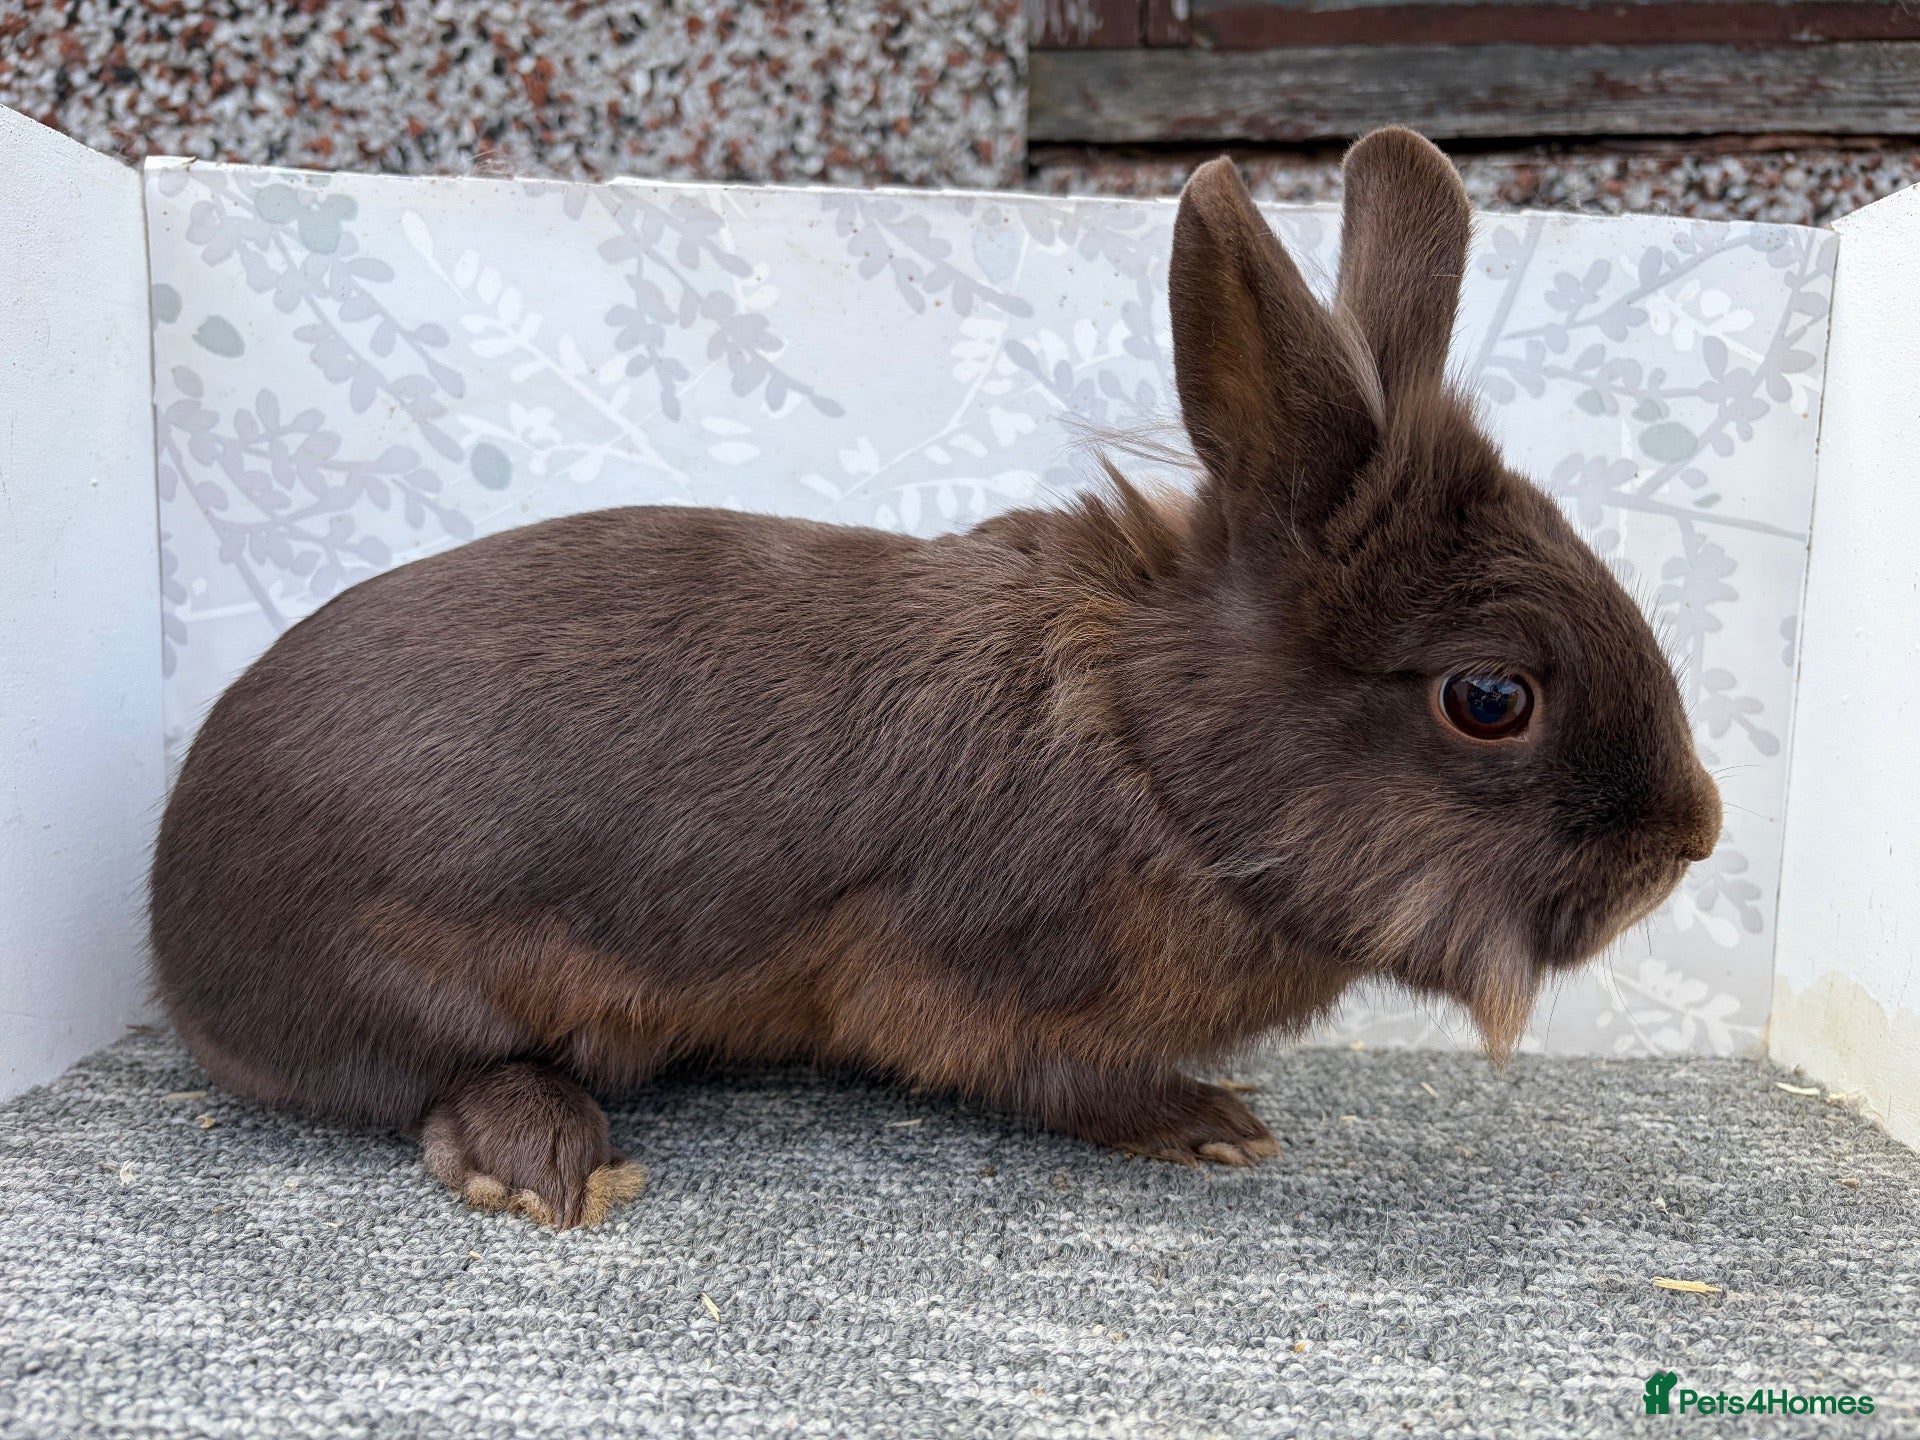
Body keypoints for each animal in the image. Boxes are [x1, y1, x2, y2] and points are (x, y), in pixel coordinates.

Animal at [149, 127, 1721, 1229]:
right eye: (1490, 700)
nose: (1692, 838)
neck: (1152, 755)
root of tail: (171, 909)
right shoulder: (982, 987)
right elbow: (1060, 1079)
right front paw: (1213, 1124)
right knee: (437, 1076)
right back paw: (547, 1163)